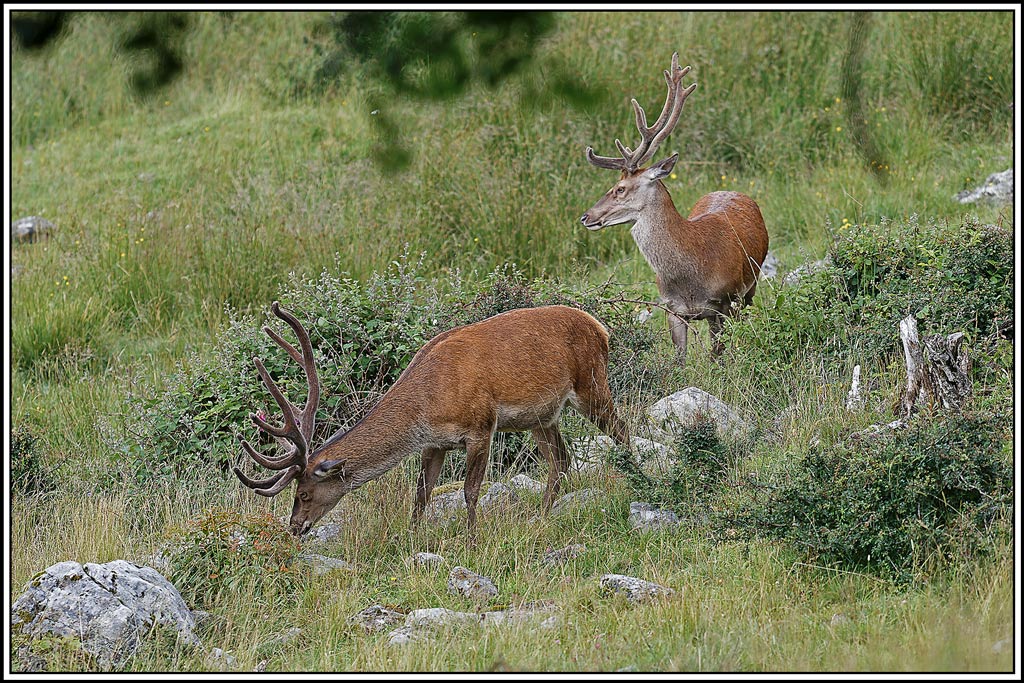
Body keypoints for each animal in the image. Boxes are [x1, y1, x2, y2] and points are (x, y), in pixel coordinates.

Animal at [233, 301, 631, 544]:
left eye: (303, 493)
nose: (294, 527)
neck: (428, 402)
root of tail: (601, 328)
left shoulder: (480, 425)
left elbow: (470, 491)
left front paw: (472, 540)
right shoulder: (434, 442)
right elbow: (421, 494)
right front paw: (410, 538)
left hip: (591, 385)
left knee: (623, 431)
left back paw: (634, 483)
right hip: (541, 415)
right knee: (561, 460)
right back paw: (542, 517)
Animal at [580, 52, 769, 368]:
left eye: (620, 189)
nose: (586, 217)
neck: (692, 273)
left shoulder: (723, 303)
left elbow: (717, 356)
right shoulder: (672, 309)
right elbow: (679, 361)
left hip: (749, 288)